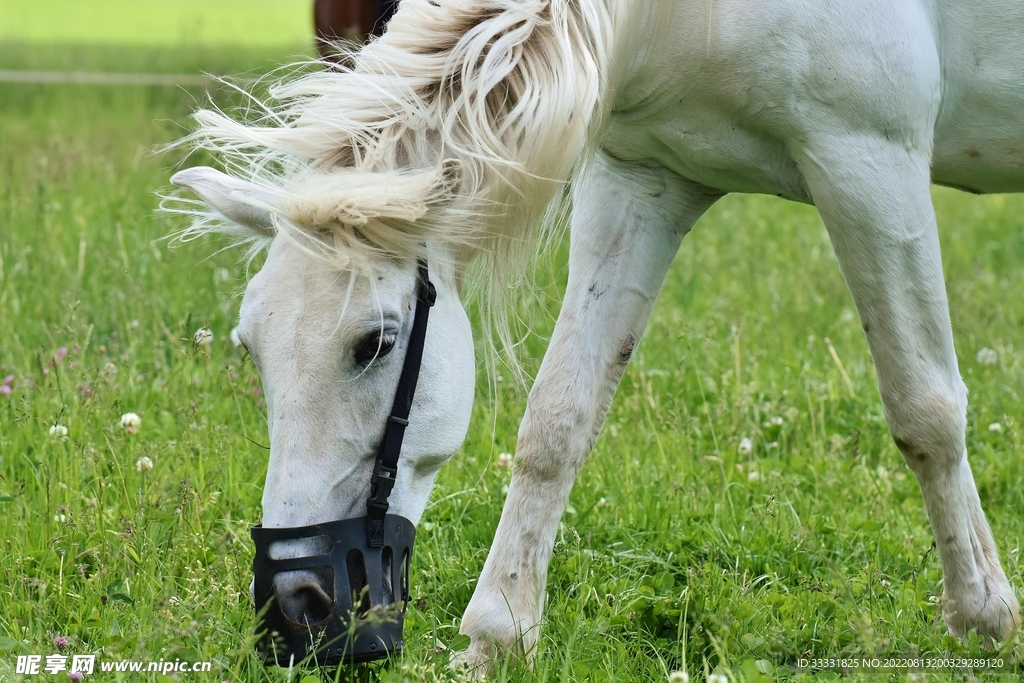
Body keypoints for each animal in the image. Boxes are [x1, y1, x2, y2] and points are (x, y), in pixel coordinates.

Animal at [168, 0, 1022, 672]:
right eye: (252, 348)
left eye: (373, 343)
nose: (294, 602)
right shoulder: (641, 182)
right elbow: (558, 421)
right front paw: (500, 632)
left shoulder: (868, 164)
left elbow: (925, 409)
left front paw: (980, 612)